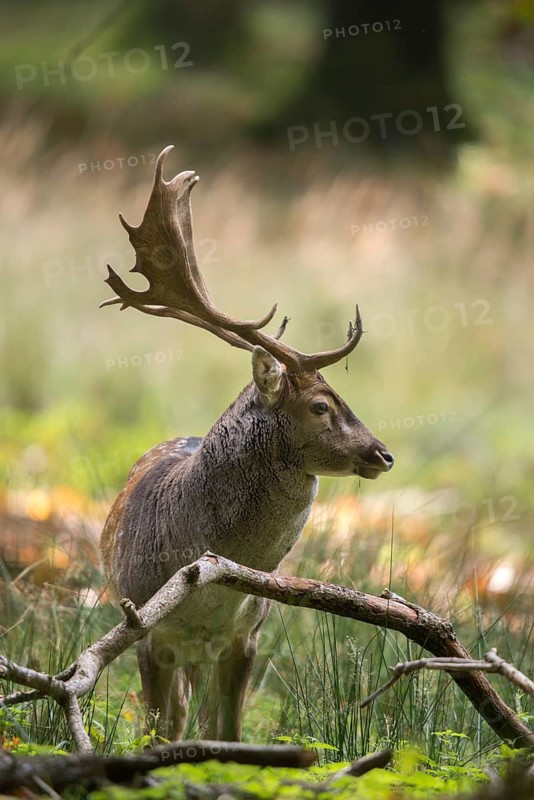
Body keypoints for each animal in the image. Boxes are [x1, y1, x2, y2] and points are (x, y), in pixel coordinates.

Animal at [99, 146, 394, 743]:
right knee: (178, 717)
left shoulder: (248, 634)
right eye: (320, 405)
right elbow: (159, 730)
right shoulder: (144, 629)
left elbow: (228, 733)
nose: (383, 454)